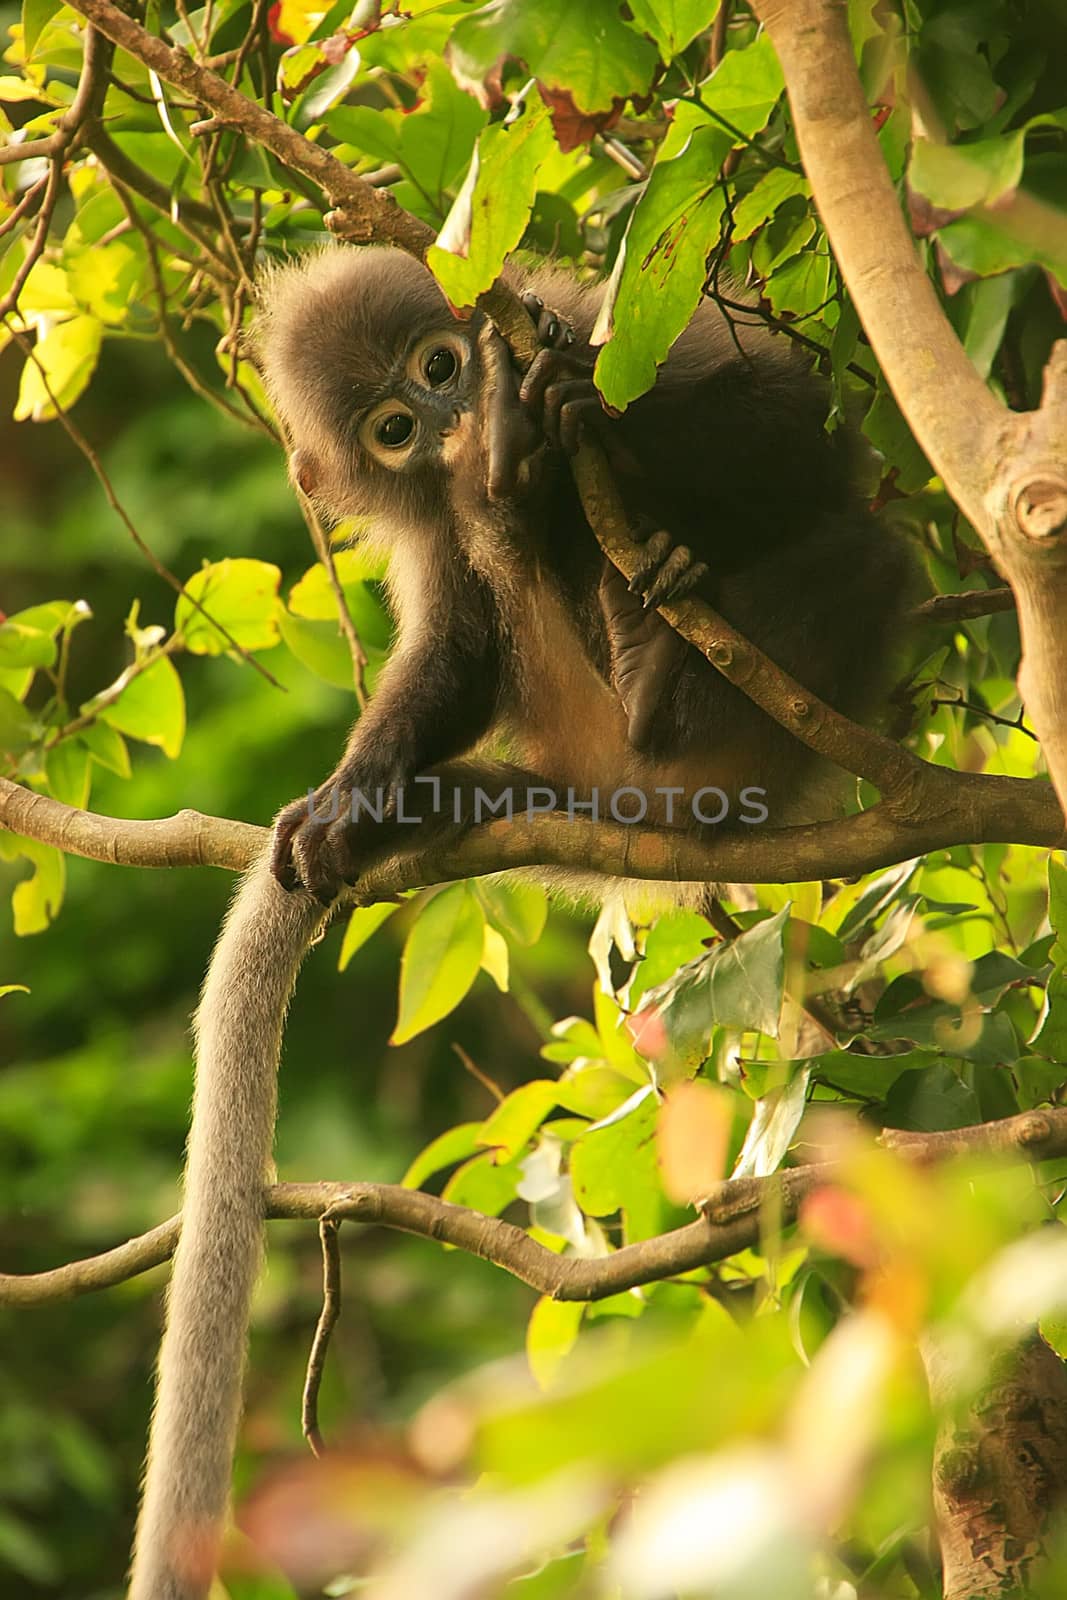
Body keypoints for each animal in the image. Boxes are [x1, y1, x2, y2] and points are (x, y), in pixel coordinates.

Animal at [125, 243, 908, 1593]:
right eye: (390, 426)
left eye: (439, 364)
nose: (449, 421)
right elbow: (453, 643)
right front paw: (356, 787)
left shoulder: (596, 320)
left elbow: (795, 423)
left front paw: (563, 421)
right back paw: (547, 553)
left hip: (786, 711)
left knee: (862, 547)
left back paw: (633, 617)